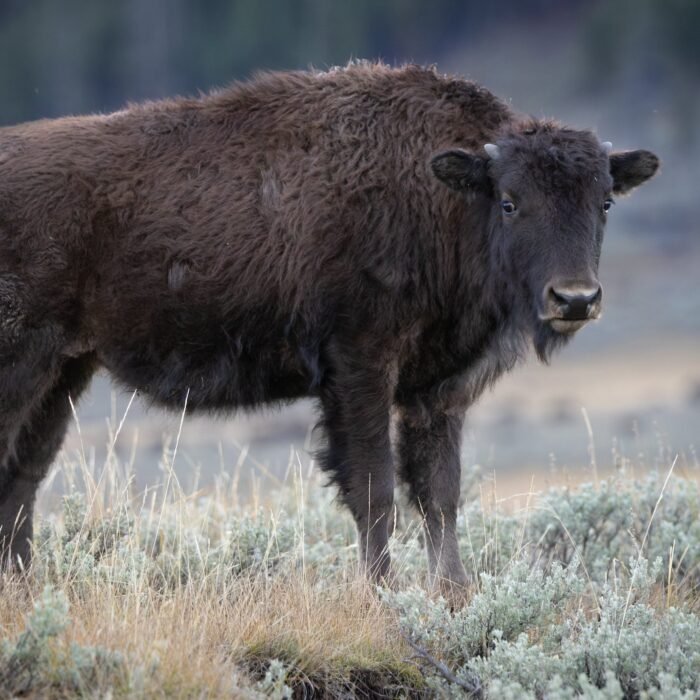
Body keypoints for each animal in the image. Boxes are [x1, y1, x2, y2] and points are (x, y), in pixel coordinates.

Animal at [0, 62, 658, 592]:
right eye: (510, 201)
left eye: (604, 201)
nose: (574, 298)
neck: (442, 195)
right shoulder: (360, 367)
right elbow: (375, 489)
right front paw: (382, 593)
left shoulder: (435, 391)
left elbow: (440, 494)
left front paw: (453, 595)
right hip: (26, 362)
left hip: (65, 372)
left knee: (23, 479)